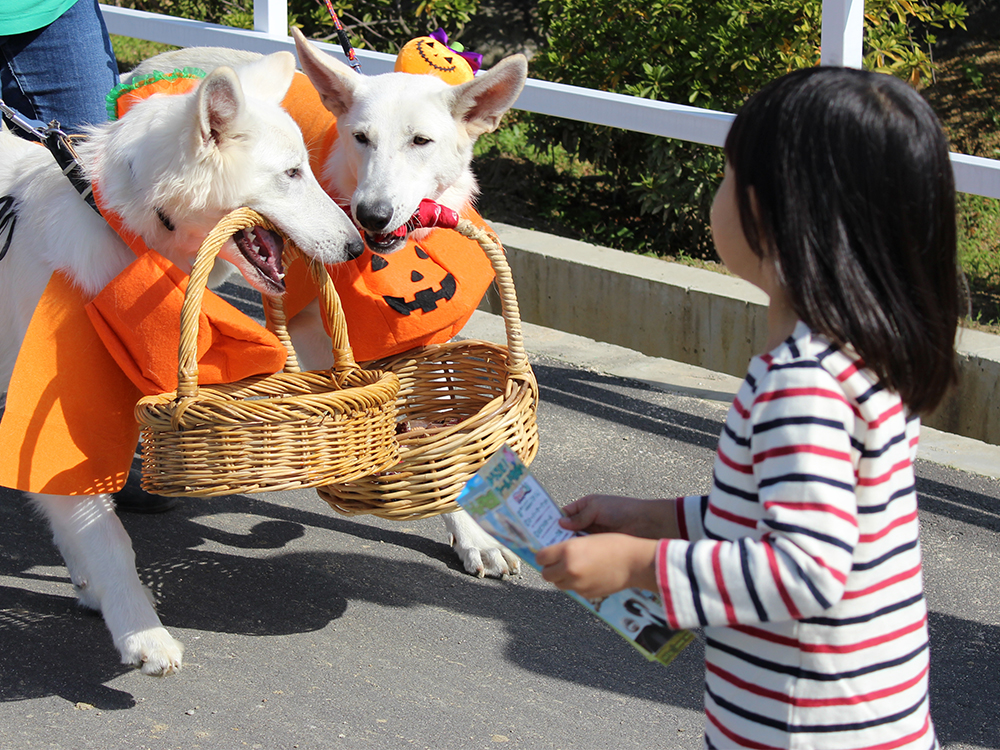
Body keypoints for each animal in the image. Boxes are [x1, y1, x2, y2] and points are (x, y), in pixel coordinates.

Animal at [0, 51, 364, 676]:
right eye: (292, 173)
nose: (359, 247)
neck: (118, 219)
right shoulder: (52, 414)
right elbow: (105, 532)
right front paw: (140, 630)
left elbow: (80, 516)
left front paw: (92, 587)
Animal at [131, 30, 532, 580]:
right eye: (361, 138)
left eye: (421, 142)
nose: (372, 215)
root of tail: (155, 61)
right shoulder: (315, 333)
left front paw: (469, 530)